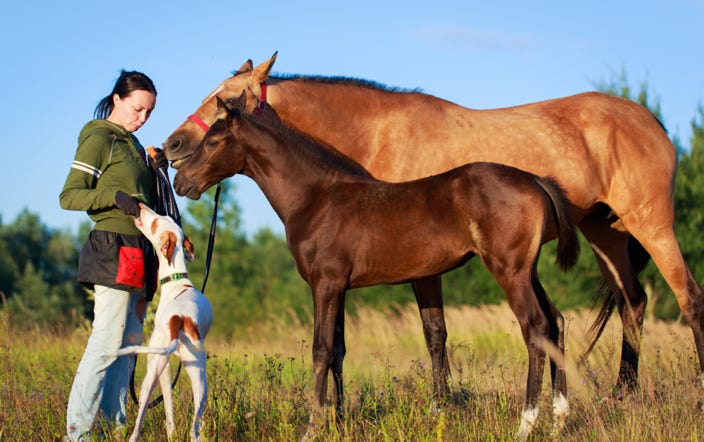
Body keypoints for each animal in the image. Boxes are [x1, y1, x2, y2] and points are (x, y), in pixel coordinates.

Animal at [115, 204, 213, 442]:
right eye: (164, 216)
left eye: (156, 221)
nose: (141, 206)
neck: (177, 280)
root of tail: (179, 319)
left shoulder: (164, 368)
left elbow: (167, 404)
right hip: (200, 380)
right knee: (195, 427)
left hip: (153, 368)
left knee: (140, 419)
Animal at [162, 52, 704, 398]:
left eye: (224, 99)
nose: (171, 147)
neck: (376, 136)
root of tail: (651, 121)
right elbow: (352, 344)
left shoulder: (421, 269)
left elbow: (434, 334)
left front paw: (442, 403)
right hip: (605, 233)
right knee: (633, 304)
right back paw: (623, 394)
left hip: (651, 225)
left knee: (688, 299)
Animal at [173, 96, 580, 438]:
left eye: (213, 141)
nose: (180, 181)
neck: (316, 198)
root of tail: (535, 181)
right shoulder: (339, 286)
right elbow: (338, 350)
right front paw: (337, 422)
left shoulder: (324, 284)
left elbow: (321, 349)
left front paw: (313, 428)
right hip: (528, 271)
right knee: (556, 321)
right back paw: (559, 420)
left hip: (509, 271)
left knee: (535, 327)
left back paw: (526, 424)